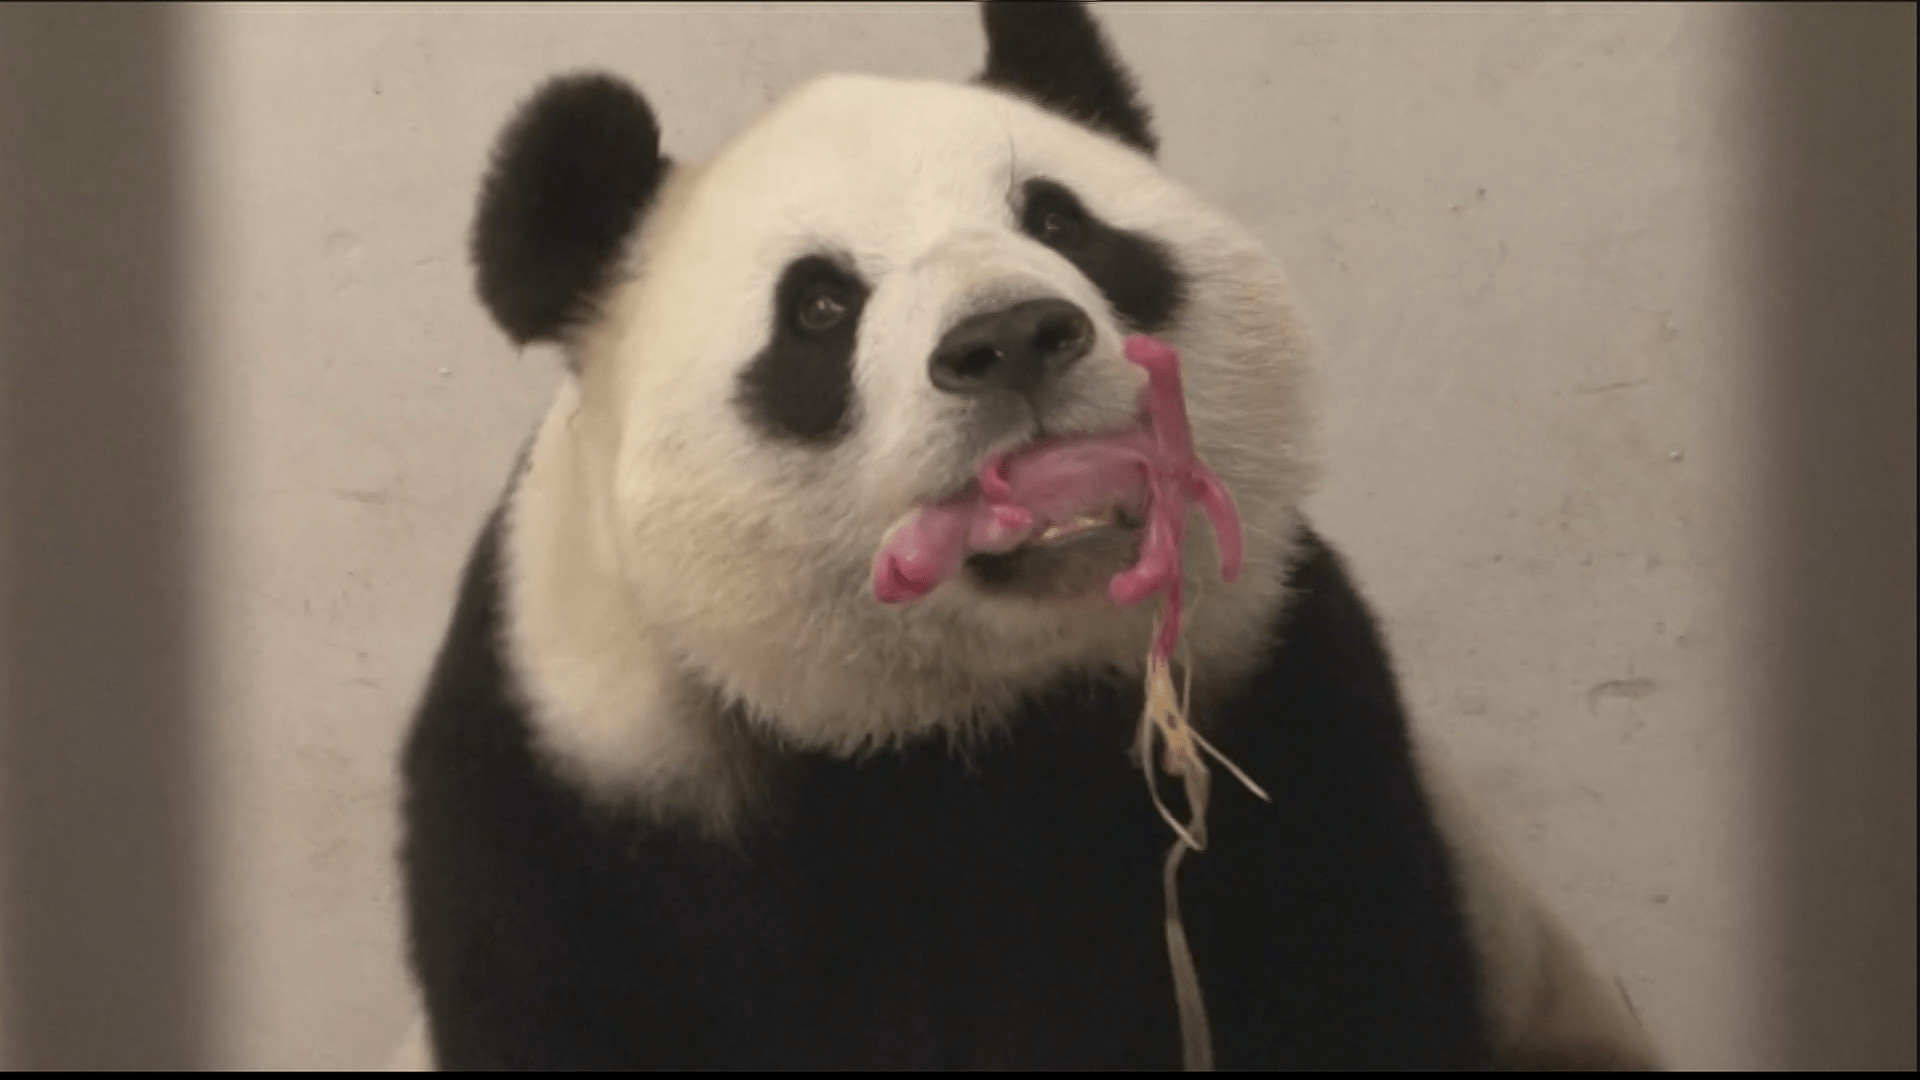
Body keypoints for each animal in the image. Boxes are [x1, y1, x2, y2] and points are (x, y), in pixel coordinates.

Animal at [398, 2, 1659, 1070]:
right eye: (818, 306)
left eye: (1059, 221)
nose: (1009, 338)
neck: (961, 715)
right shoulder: (583, 803)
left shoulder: (1283, 701)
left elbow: (1342, 971)